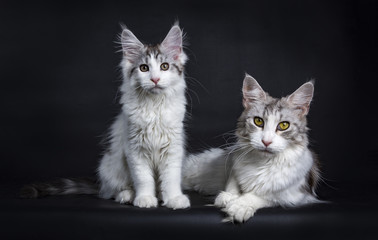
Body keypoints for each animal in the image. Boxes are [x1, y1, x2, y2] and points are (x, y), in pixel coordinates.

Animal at [21, 23, 190, 210]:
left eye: (164, 66)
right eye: (144, 68)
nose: (155, 79)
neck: (153, 106)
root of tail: (101, 184)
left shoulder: (173, 149)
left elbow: (170, 179)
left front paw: (174, 198)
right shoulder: (135, 150)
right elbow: (144, 179)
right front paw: (145, 198)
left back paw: (158, 196)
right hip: (112, 166)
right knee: (113, 191)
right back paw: (127, 196)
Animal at [183, 74, 322, 221]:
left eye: (284, 125)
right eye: (258, 121)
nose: (266, 141)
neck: (262, 163)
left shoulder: (295, 195)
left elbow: (264, 196)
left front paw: (239, 205)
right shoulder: (233, 166)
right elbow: (232, 183)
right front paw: (228, 197)